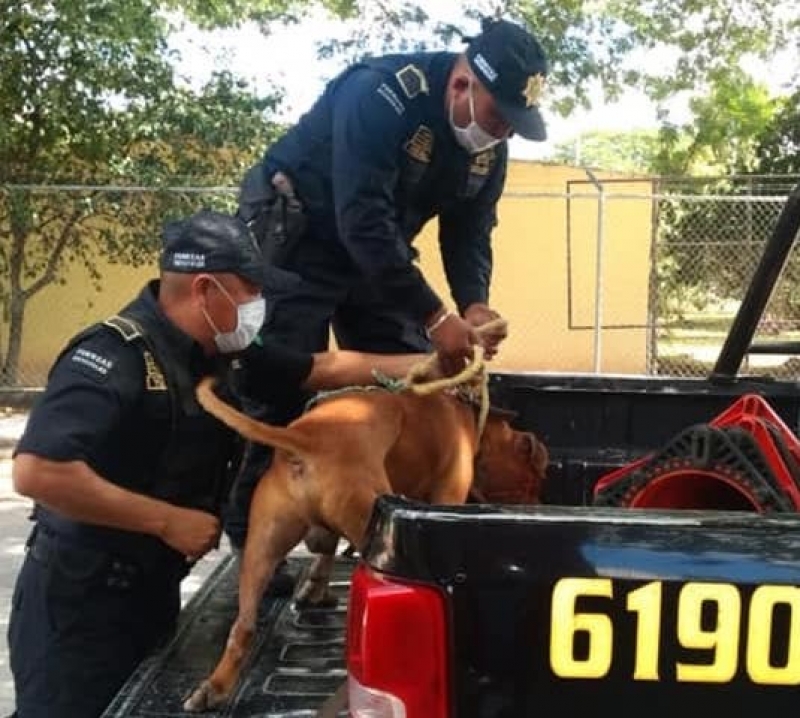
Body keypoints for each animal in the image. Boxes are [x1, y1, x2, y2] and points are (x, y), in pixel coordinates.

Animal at [182, 380, 548, 712]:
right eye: (533, 479)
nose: (540, 504)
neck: (469, 413)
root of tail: (308, 438)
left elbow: (324, 553)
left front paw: (316, 589)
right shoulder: (447, 493)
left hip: (261, 548)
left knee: (242, 626)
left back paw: (214, 687)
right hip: (370, 531)